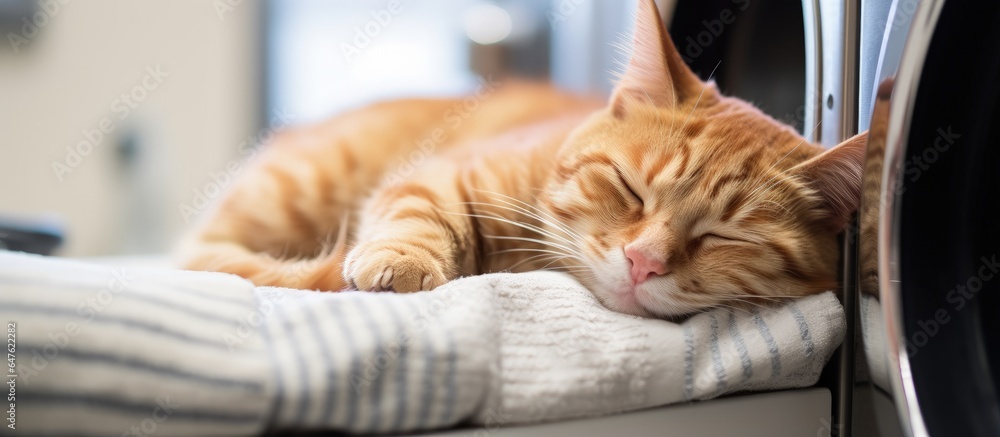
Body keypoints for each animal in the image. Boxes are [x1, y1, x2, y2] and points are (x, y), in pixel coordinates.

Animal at [180, 0, 868, 320]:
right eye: (630, 189)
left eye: (725, 237)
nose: (643, 262)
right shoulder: (439, 175)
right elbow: (420, 212)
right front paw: (404, 261)